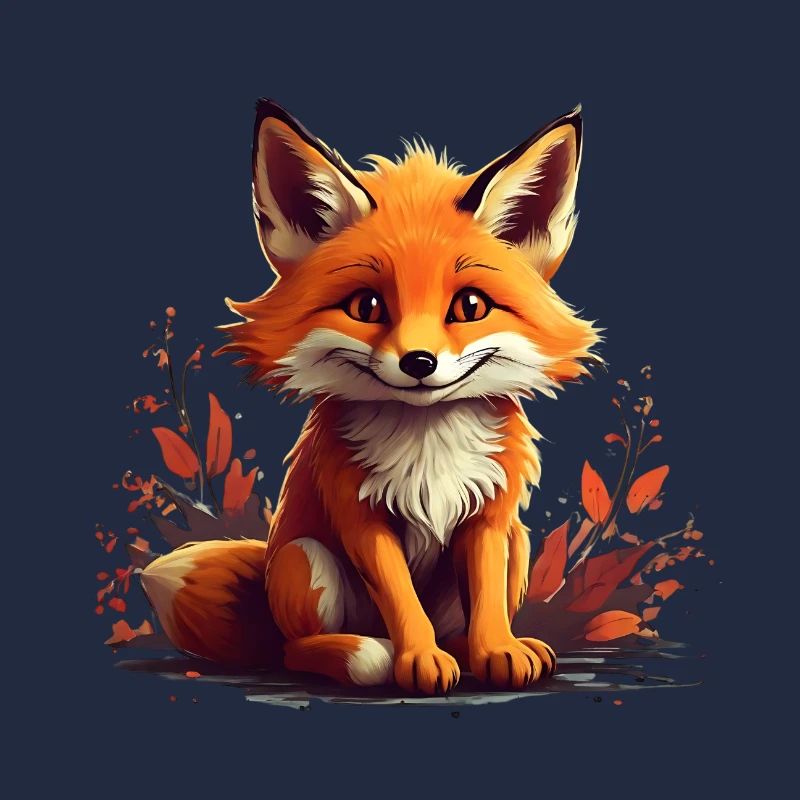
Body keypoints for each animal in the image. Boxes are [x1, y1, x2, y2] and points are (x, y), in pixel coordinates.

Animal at [141, 99, 600, 695]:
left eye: (471, 306)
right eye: (367, 306)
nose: (419, 362)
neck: (428, 444)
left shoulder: (489, 517)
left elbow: (487, 603)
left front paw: (496, 650)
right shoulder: (360, 516)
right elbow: (403, 602)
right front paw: (417, 660)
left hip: (519, 543)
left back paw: (470, 650)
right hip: (305, 559)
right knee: (295, 651)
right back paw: (364, 654)